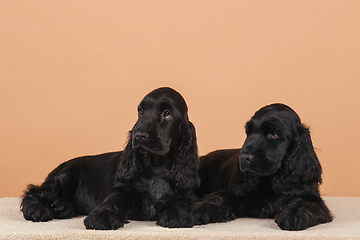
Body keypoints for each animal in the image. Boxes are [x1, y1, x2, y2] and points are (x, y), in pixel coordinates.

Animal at [20, 87, 200, 230]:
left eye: (167, 114)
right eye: (140, 111)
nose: (138, 135)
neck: (157, 166)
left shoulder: (186, 194)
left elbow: (180, 201)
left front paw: (176, 215)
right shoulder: (121, 189)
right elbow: (113, 200)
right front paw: (103, 217)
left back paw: (61, 207)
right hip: (65, 177)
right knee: (34, 192)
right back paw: (38, 209)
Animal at [193, 103, 334, 231]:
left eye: (274, 134)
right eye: (248, 132)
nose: (244, 158)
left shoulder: (314, 199)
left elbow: (306, 203)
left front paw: (293, 215)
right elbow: (223, 196)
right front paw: (204, 208)